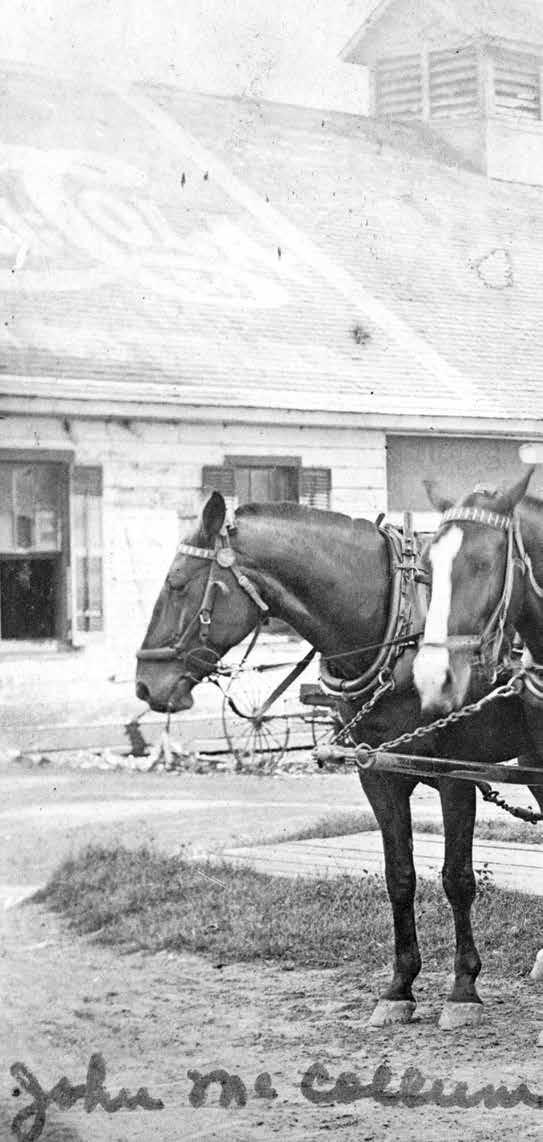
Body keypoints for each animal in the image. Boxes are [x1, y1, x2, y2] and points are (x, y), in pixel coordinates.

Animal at [136, 490, 532, 1030]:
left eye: (177, 585)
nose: (144, 685)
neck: (401, 628)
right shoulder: (379, 774)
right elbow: (400, 878)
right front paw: (399, 987)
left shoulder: (454, 775)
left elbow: (457, 879)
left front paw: (463, 989)